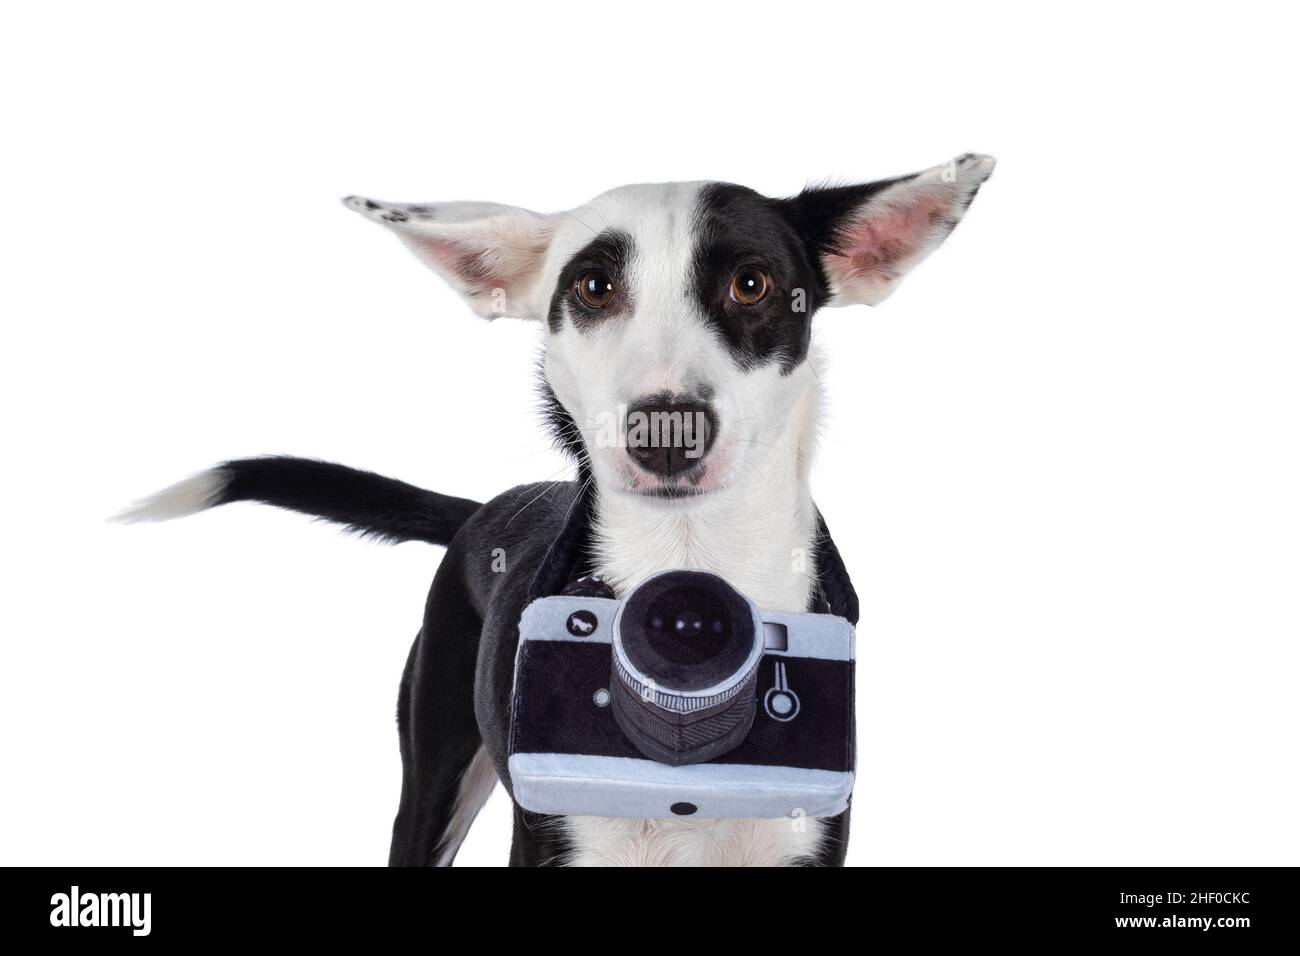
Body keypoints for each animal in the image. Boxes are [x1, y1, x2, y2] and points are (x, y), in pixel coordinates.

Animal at [122, 151, 993, 868]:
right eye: (594, 287)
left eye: (752, 284)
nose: (665, 431)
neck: (688, 552)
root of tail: (485, 510)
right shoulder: (550, 835)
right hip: (433, 772)